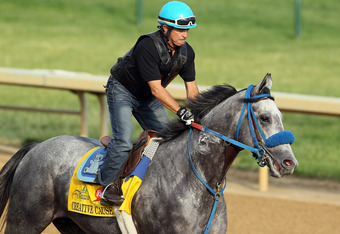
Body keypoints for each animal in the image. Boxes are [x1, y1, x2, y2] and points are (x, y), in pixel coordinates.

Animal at [0, 74, 298, 232]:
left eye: (281, 116)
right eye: (264, 118)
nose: (289, 162)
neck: (194, 177)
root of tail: (36, 146)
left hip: (72, 223)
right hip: (25, 219)